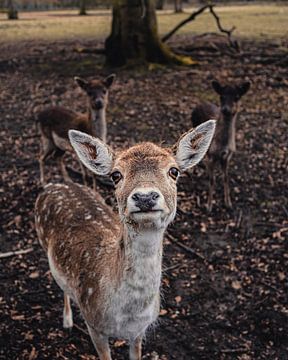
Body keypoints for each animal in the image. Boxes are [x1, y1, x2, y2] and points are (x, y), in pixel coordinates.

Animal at [34, 120, 216, 360]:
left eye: (174, 171)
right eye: (115, 175)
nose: (145, 197)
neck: (126, 316)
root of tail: (55, 185)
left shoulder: (140, 331)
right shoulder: (94, 325)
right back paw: (67, 321)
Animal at [191, 79, 250, 211]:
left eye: (237, 97)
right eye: (221, 96)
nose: (226, 109)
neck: (221, 145)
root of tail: (199, 103)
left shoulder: (228, 156)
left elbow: (226, 177)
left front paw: (228, 203)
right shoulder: (212, 154)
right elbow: (212, 180)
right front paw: (209, 206)